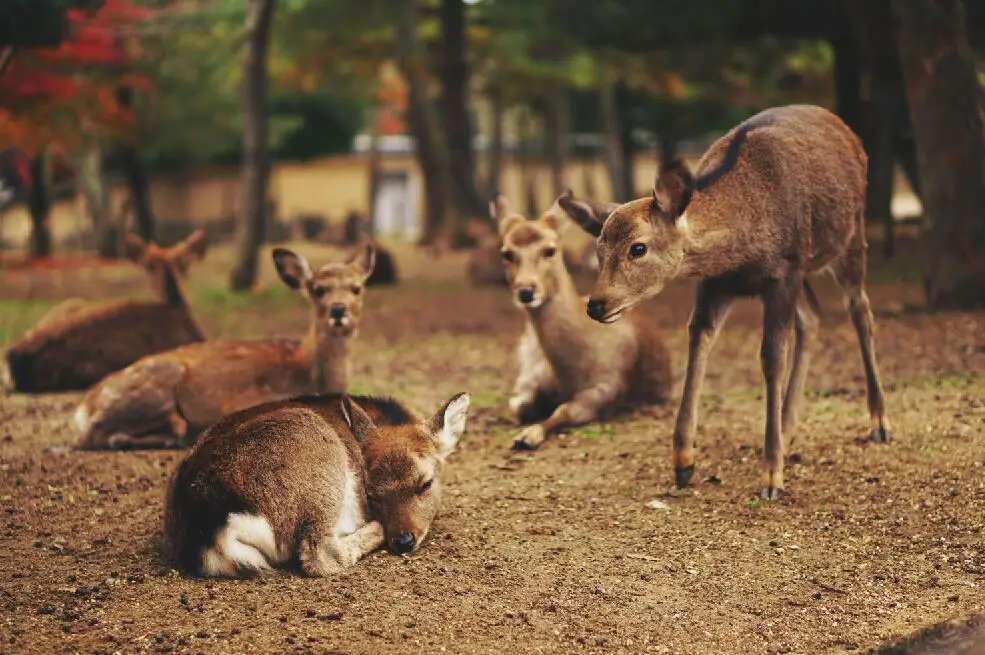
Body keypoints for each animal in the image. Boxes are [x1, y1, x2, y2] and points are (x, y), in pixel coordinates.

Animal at [73, 243, 375, 450]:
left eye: (357, 287)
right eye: (318, 289)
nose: (338, 309)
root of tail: (82, 409)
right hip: (155, 385)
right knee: (103, 434)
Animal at [492, 193, 673, 450]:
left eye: (550, 250)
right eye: (506, 252)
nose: (526, 291)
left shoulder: (606, 387)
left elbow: (563, 410)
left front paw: (527, 436)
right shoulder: (528, 377)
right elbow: (518, 405)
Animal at [558, 104, 891, 500]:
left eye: (638, 248)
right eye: (598, 249)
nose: (596, 304)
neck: (740, 249)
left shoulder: (783, 272)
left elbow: (771, 357)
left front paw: (771, 476)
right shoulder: (717, 283)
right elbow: (698, 340)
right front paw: (683, 462)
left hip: (850, 236)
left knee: (859, 310)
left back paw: (879, 423)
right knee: (812, 316)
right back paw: (787, 426)